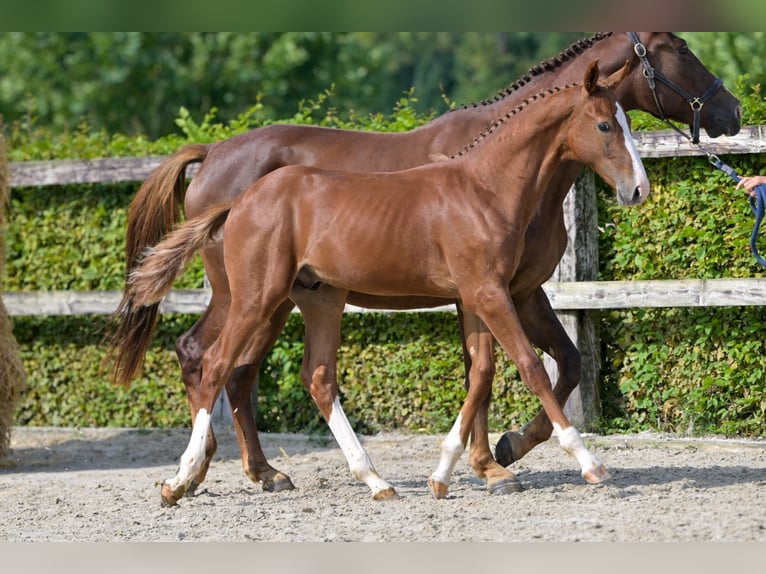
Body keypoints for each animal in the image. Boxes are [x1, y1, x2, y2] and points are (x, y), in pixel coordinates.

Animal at [108, 33, 744, 498]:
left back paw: (348, 478)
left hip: (313, 297)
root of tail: (228, 181)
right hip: (252, 295)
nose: (733, 112)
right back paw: (188, 477)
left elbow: (495, 371)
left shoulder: (491, 293)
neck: (486, 185)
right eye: (681, 51)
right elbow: (530, 367)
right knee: (212, 361)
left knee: (301, 376)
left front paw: (474, 465)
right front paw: (569, 462)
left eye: (629, 121)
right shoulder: (493, 292)